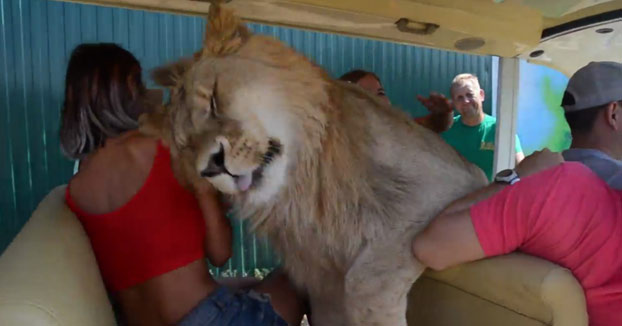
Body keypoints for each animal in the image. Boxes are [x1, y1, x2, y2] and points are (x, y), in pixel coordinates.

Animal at [140, 5, 488, 326]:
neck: (306, 186)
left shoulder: (454, 186)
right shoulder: (321, 284)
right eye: (187, 146)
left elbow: (363, 282)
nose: (211, 167)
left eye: (213, 101)